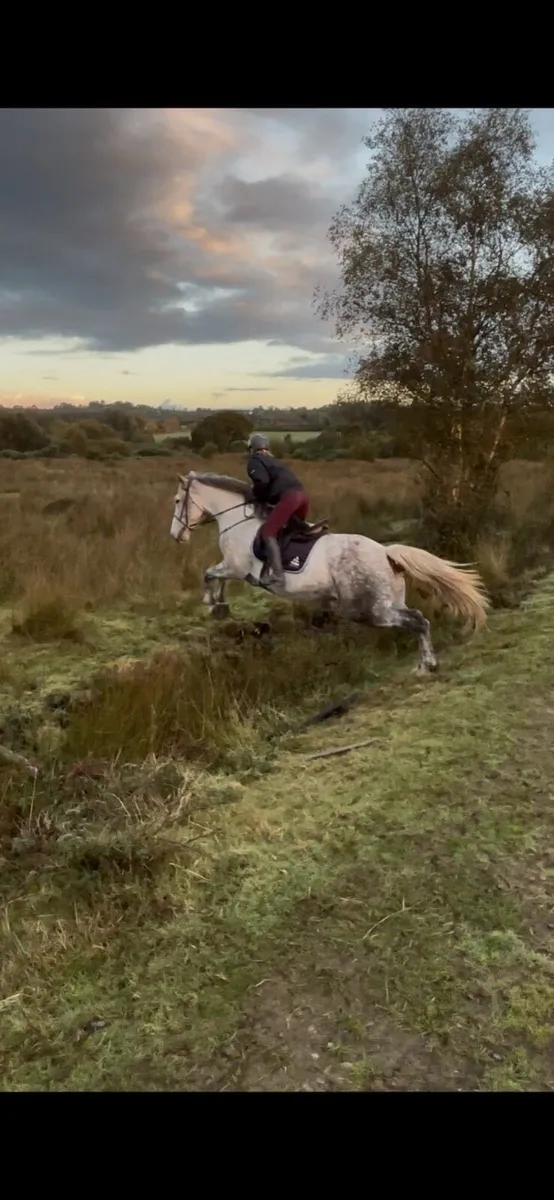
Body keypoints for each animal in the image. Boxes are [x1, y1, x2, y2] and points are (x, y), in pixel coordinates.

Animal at [170, 470, 489, 674]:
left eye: (177, 501)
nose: (175, 536)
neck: (237, 520)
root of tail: (385, 553)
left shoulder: (234, 566)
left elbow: (209, 574)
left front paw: (213, 605)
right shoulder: (233, 568)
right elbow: (216, 579)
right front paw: (220, 606)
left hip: (371, 611)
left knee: (418, 621)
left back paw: (426, 665)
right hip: (388, 602)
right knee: (418, 619)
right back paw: (427, 663)